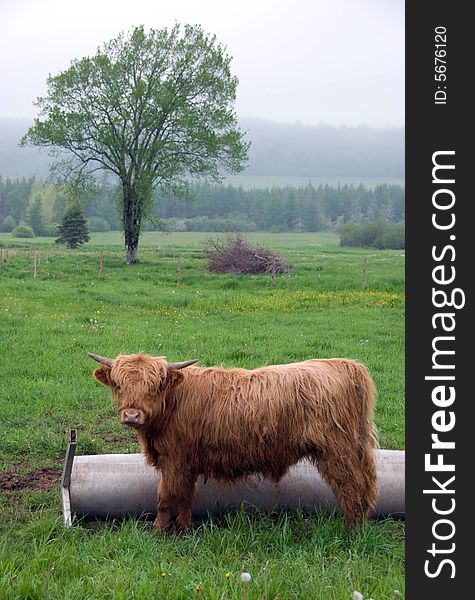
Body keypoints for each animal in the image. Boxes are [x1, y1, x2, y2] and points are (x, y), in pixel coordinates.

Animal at [89, 354, 380, 532]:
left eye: (155, 386)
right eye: (118, 384)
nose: (131, 415)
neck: (172, 404)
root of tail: (342, 364)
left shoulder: (175, 460)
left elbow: (164, 495)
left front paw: (158, 530)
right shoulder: (185, 462)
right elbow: (184, 496)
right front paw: (184, 529)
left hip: (337, 451)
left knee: (352, 485)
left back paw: (352, 530)